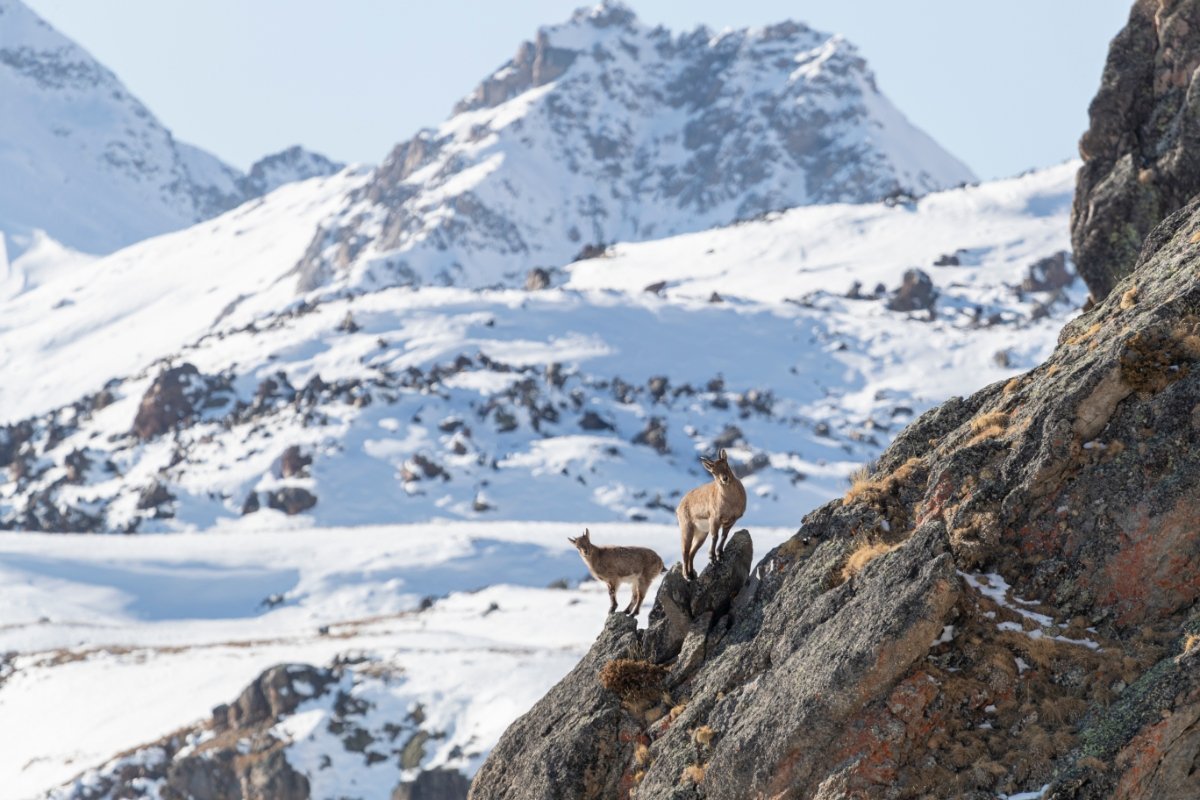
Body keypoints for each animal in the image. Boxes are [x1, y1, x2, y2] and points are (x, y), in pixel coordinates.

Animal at [681, 448, 744, 578]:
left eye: (726, 464)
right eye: (713, 472)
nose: (725, 479)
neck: (730, 502)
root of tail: (680, 504)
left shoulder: (731, 521)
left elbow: (724, 536)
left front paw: (720, 554)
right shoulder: (714, 518)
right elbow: (715, 536)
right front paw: (712, 558)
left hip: (701, 533)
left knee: (692, 552)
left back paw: (692, 574)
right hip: (687, 527)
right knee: (685, 550)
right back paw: (686, 576)